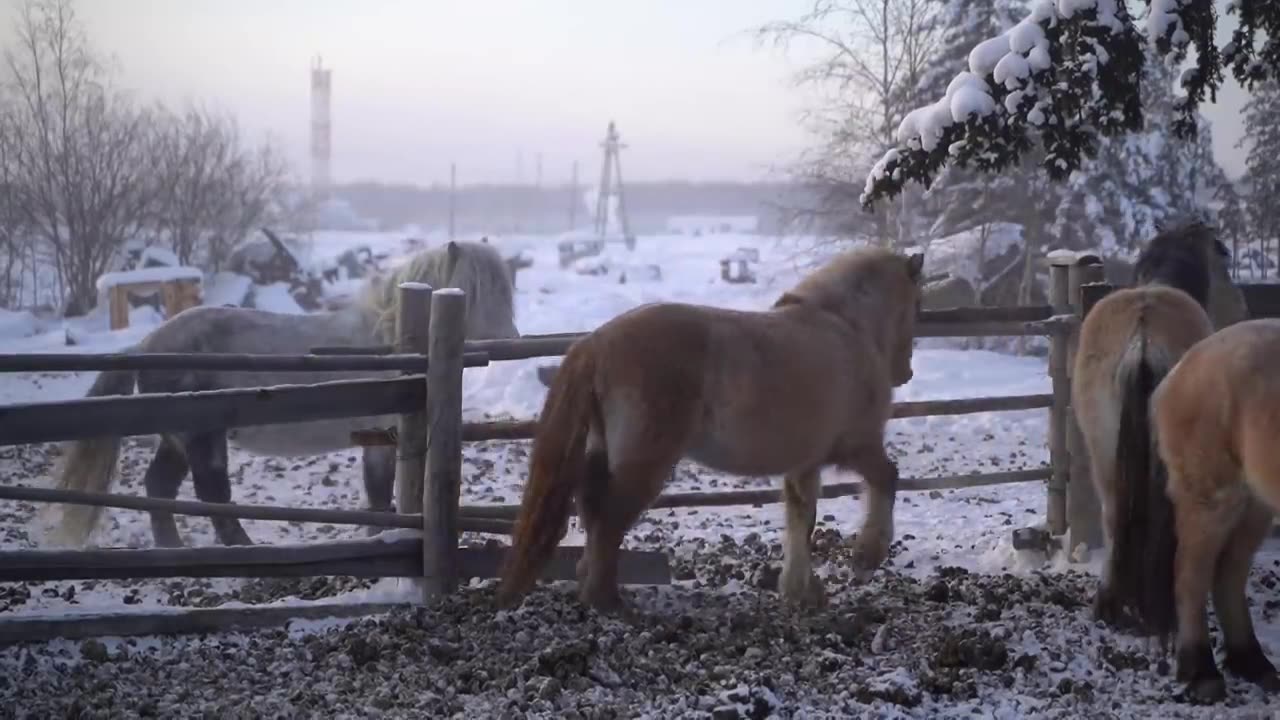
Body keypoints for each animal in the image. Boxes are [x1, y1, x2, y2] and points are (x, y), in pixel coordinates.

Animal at [1075, 220, 1244, 632]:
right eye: (1222, 257)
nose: (1241, 304)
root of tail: (1143, 336)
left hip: (1103, 450)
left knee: (1113, 514)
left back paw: (1110, 602)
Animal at [1152, 317, 1280, 702]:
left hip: (1255, 505)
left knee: (1228, 574)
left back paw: (1252, 662)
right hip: (1212, 502)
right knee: (1191, 576)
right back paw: (1202, 673)